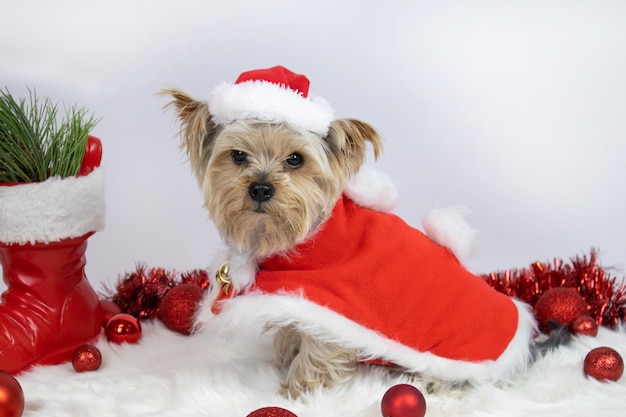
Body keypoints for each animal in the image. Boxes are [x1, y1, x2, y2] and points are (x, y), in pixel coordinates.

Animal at [165, 65, 536, 396]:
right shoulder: (295, 297)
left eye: (296, 159)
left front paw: (299, 389)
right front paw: (283, 358)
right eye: (238, 155)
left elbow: (317, 350)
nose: (260, 188)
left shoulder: (331, 304)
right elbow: (291, 327)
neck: (305, 234)